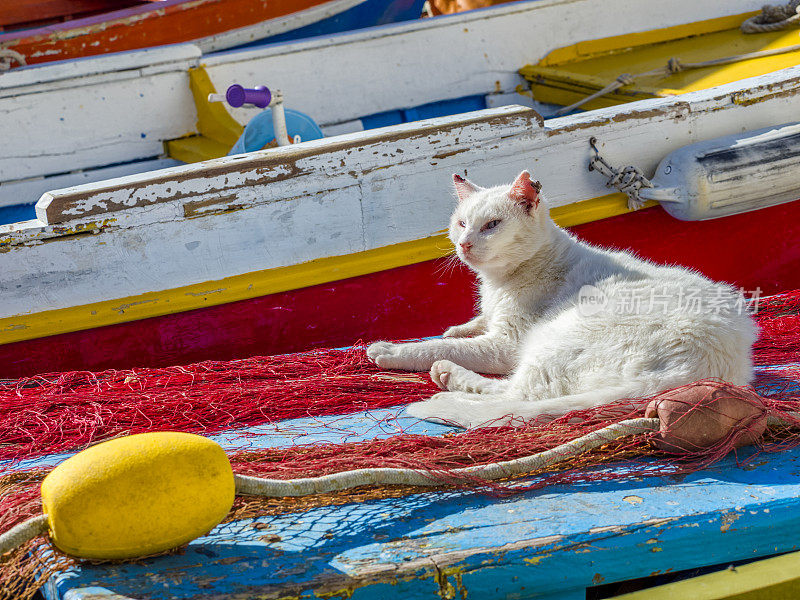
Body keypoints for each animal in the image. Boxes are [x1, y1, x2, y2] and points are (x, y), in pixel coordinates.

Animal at [368, 171, 756, 428]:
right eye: (461, 224)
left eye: (492, 225)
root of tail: (707, 365)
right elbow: (469, 327)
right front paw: (460, 327)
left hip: (556, 337)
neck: (497, 282)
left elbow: (438, 345)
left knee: (519, 395)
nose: (464, 245)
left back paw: (449, 383)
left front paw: (394, 350)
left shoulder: (506, 342)